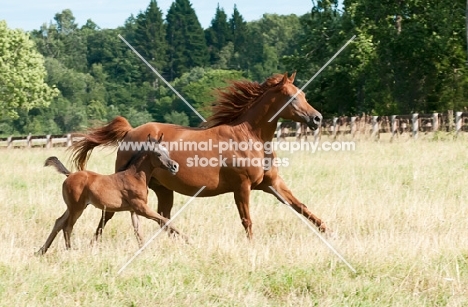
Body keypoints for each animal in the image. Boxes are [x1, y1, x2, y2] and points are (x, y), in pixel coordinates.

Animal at [37, 134, 185, 256]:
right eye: (158, 154)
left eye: (167, 151)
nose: (175, 166)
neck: (135, 177)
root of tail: (70, 175)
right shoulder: (141, 208)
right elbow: (165, 220)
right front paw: (187, 240)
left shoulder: (134, 210)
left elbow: (138, 231)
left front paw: (144, 252)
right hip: (77, 208)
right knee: (67, 226)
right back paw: (70, 251)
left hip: (73, 207)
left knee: (59, 222)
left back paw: (41, 251)